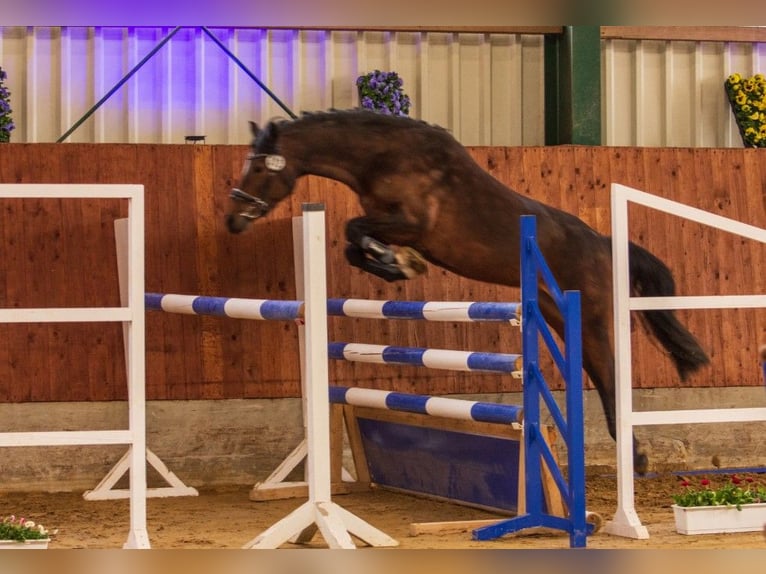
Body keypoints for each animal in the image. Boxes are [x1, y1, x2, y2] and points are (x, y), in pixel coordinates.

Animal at [224, 109, 710, 474]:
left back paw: (637, 458)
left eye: (257, 167)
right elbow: (351, 243)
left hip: (591, 318)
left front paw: (399, 263)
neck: (384, 157)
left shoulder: (412, 222)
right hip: (557, 315)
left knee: (609, 376)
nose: (231, 220)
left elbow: (353, 230)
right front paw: (397, 265)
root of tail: (604, 244)